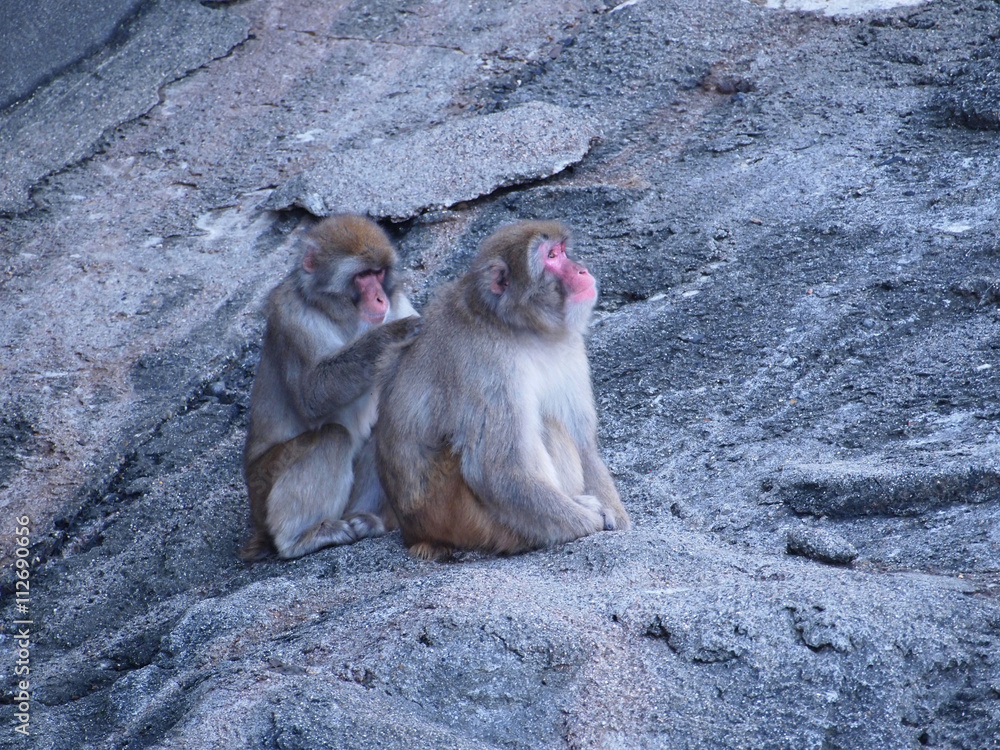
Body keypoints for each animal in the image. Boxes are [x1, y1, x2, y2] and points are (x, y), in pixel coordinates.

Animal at [241, 214, 419, 560]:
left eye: (379, 273)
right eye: (362, 276)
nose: (381, 298)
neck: (344, 315)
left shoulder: (400, 302)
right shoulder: (290, 315)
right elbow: (312, 394)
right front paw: (393, 336)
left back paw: (366, 520)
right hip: (264, 484)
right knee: (333, 436)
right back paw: (297, 539)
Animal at [375, 220, 630, 560]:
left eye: (562, 251)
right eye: (551, 256)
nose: (581, 270)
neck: (516, 326)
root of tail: (414, 533)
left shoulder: (569, 345)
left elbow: (583, 442)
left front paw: (616, 515)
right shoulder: (487, 363)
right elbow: (498, 470)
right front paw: (590, 519)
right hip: (460, 513)